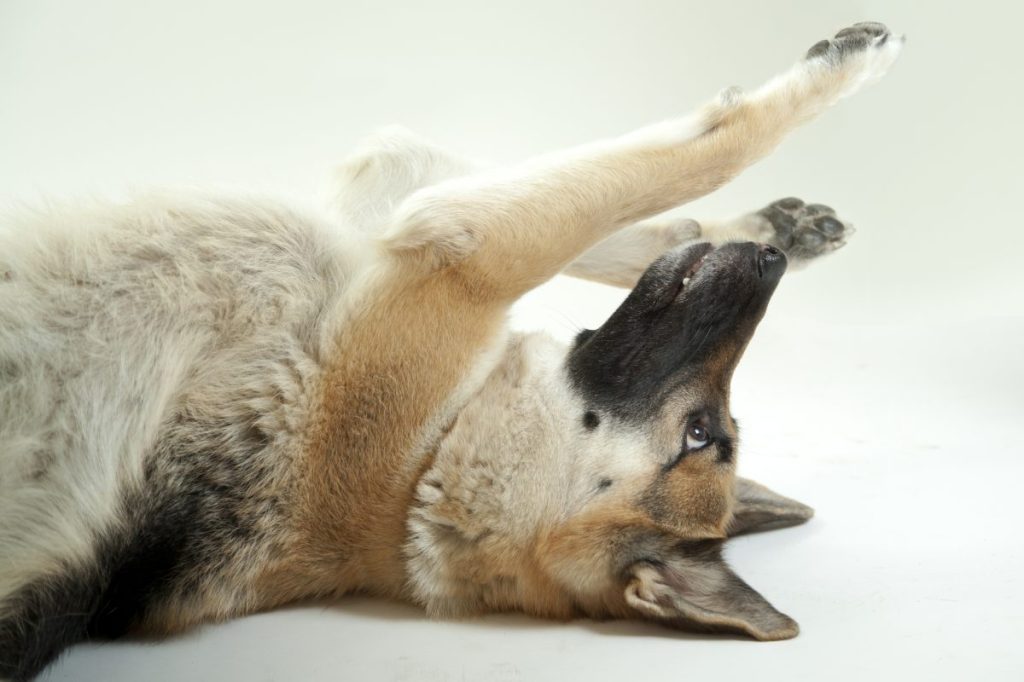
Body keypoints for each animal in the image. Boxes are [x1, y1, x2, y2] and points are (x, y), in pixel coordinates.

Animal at [0, 23, 901, 675]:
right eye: (708, 431)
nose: (768, 267)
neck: (422, 471)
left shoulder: (451, 246)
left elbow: (687, 156)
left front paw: (832, 83)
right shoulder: (408, 222)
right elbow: (654, 201)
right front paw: (764, 224)